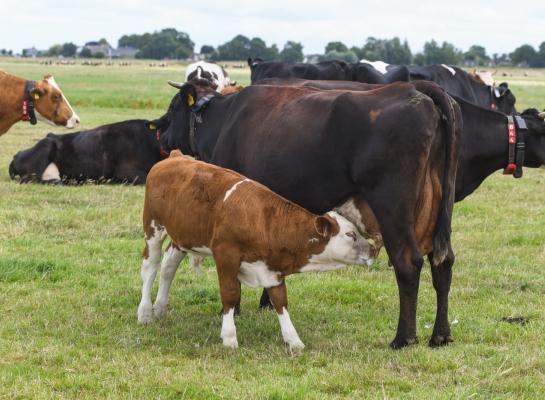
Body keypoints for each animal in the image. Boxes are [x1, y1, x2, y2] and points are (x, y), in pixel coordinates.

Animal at [137, 150, 374, 350]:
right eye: (350, 234)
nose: (373, 250)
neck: (264, 221)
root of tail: (176, 156)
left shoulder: (272, 268)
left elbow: (280, 300)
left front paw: (293, 340)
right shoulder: (226, 255)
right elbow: (230, 295)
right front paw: (229, 337)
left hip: (183, 236)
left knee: (168, 267)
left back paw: (160, 307)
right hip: (152, 227)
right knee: (150, 267)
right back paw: (145, 312)